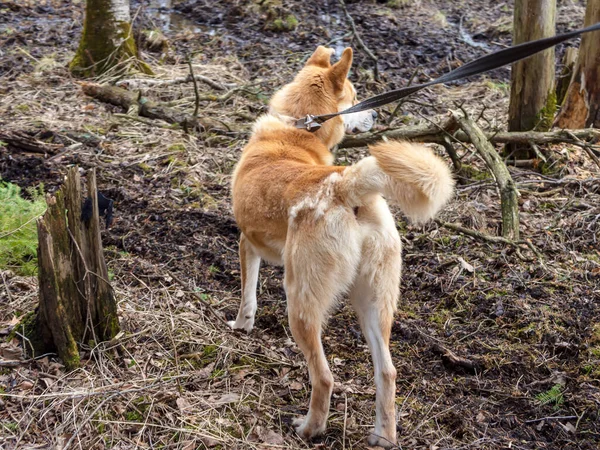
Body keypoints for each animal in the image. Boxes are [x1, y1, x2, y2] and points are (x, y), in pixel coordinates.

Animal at [230, 45, 454, 446]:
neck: (297, 130)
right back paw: (383, 436)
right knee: (387, 372)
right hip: (373, 305)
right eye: (353, 98)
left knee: (324, 377)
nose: (376, 112)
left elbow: (247, 297)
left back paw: (309, 428)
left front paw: (241, 325)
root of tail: (345, 186)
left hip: (301, 303)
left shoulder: (247, 242)